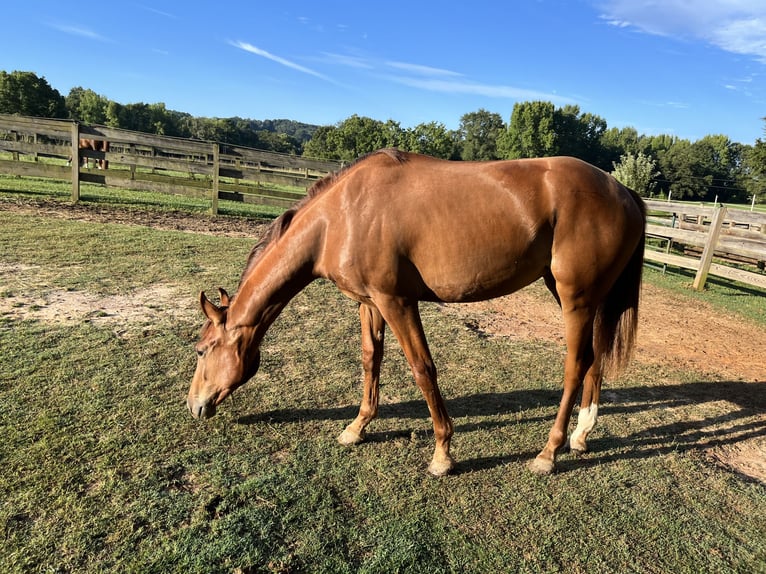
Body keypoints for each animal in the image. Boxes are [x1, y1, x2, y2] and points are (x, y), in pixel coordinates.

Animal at [188, 148, 648, 476]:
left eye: (201, 350)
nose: (195, 406)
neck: (340, 217)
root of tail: (624, 192)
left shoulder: (397, 301)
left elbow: (422, 369)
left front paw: (442, 453)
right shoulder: (369, 303)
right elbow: (371, 361)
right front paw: (357, 427)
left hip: (576, 298)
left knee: (576, 364)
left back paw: (548, 452)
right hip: (580, 298)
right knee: (594, 360)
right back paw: (581, 435)